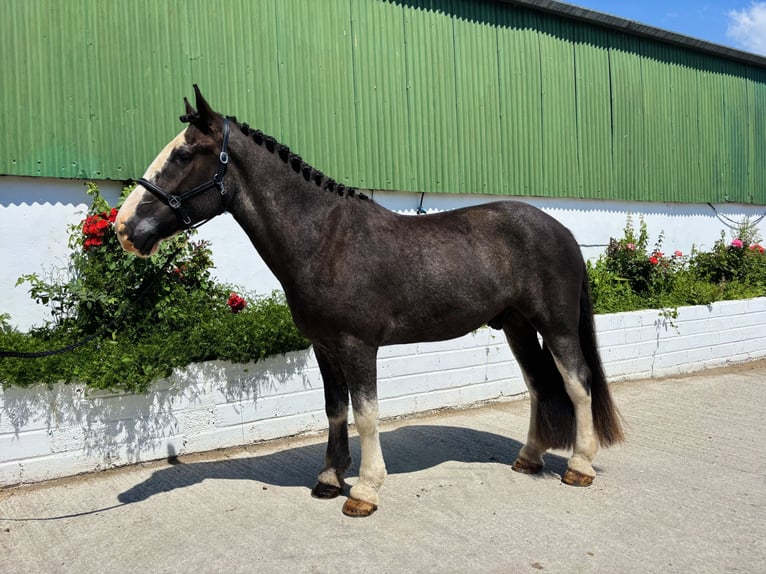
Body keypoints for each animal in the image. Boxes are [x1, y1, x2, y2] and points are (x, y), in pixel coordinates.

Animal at [115, 85, 623, 517]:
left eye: (183, 154)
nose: (123, 228)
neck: (325, 239)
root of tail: (561, 230)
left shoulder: (357, 345)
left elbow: (365, 414)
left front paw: (364, 489)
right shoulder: (324, 347)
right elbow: (335, 410)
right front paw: (328, 478)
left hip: (556, 325)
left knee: (577, 382)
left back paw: (579, 466)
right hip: (517, 325)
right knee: (539, 384)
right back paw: (529, 457)